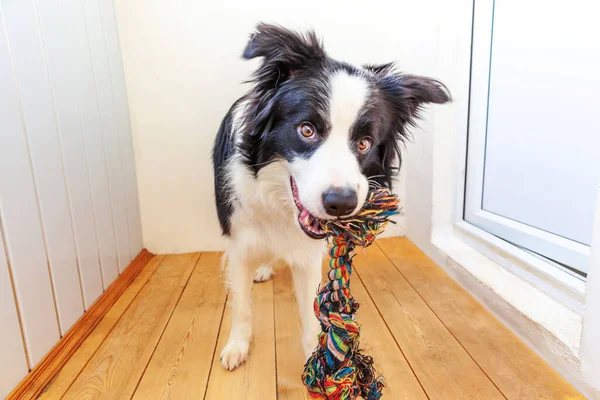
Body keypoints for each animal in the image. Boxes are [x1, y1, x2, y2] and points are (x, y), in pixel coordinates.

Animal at [213, 23, 448, 370]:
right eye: (307, 130)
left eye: (364, 143)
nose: (341, 204)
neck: (279, 204)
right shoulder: (239, 240)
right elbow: (241, 303)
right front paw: (237, 347)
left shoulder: (307, 254)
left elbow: (310, 309)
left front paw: (318, 356)